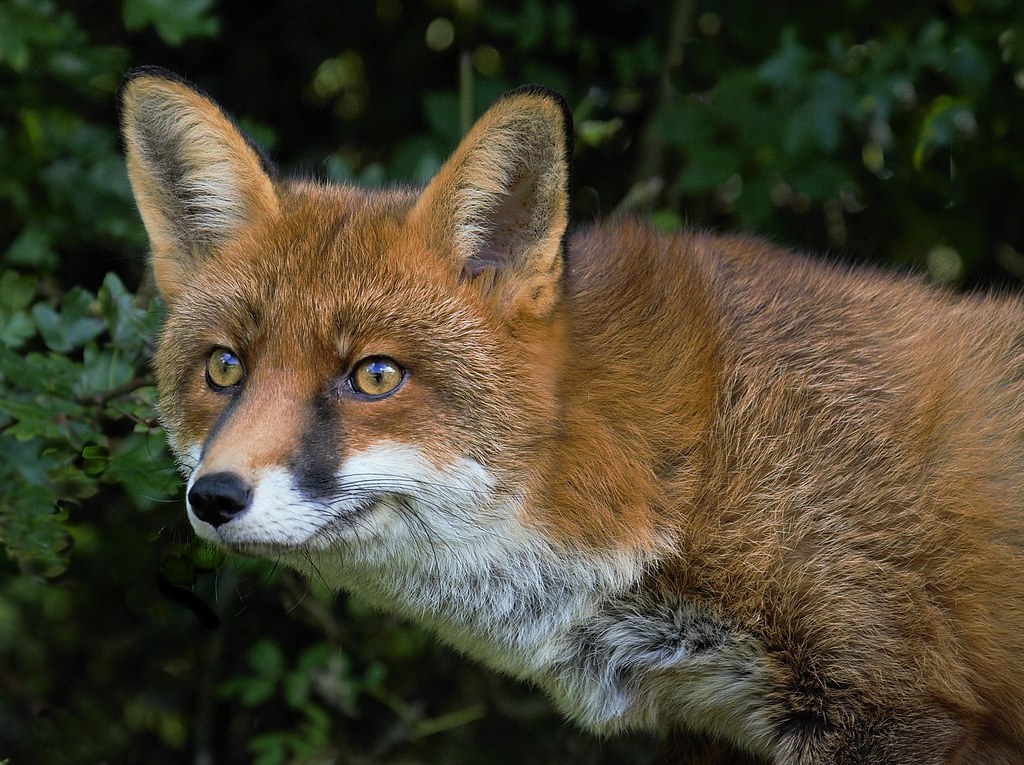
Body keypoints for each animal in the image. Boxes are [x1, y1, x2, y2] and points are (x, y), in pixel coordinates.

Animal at [117, 68, 1024, 761]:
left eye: (374, 375)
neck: (681, 462)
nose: (215, 496)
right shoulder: (722, 726)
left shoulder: (892, 702)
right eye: (224, 368)